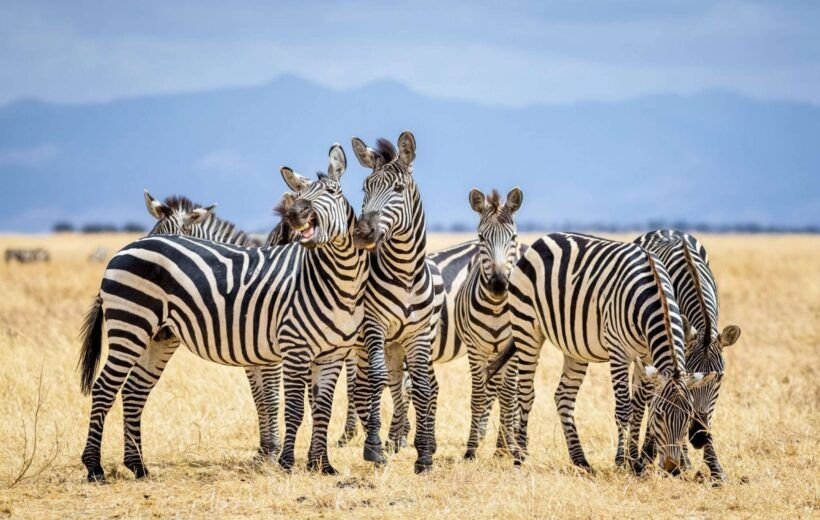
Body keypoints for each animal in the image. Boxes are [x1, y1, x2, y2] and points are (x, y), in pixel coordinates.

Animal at [79, 144, 368, 482]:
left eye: (333, 192)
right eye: (300, 193)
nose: (296, 214)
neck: (338, 278)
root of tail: (121, 252)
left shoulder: (328, 353)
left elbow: (318, 407)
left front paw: (321, 465)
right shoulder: (290, 349)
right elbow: (286, 404)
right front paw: (282, 460)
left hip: (158, 337)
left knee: (134, 392)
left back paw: (138, 466)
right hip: (130, 326)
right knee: (104, 389)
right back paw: (94, 467)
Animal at [350, 132, 446, 474]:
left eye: (398, 189)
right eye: (364, 188)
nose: (362, 233)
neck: (405, 272)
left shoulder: (417, 334)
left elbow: (422, 387)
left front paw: (425, 456)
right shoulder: (374, 326)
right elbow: (376, 382)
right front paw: (373, 447)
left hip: (406, 342)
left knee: (417, 385)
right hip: (375, 344)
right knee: (375, 385)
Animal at [486, 234, 716, 474]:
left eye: (688, 416)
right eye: (659, 415)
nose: (672, 468)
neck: (654, 295)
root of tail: (542, 240)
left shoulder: (646, 357)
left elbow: (638, 407)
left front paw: (635, 462)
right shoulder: (618, 352)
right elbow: (624, 408)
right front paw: (622, 462)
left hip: (574, 347)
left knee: (563, 397)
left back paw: (581, 461)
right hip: (527, 328)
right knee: (525, 393)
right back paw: (520, 457)